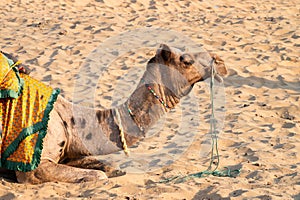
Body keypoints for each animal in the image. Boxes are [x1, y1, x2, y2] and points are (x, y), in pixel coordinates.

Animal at [0, 44, 226, 184]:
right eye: (186, 60)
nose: (220, 61)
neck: (70, 122)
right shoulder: (33, 168)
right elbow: (99, 176)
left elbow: (109, 167)